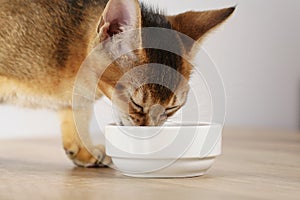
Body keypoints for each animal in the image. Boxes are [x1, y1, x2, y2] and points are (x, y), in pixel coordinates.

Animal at [0, 0, 234, 167]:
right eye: (136, 102)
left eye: (172, 108)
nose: (148, 136)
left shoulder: (78, 99)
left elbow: (78, 114)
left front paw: (83, 149)